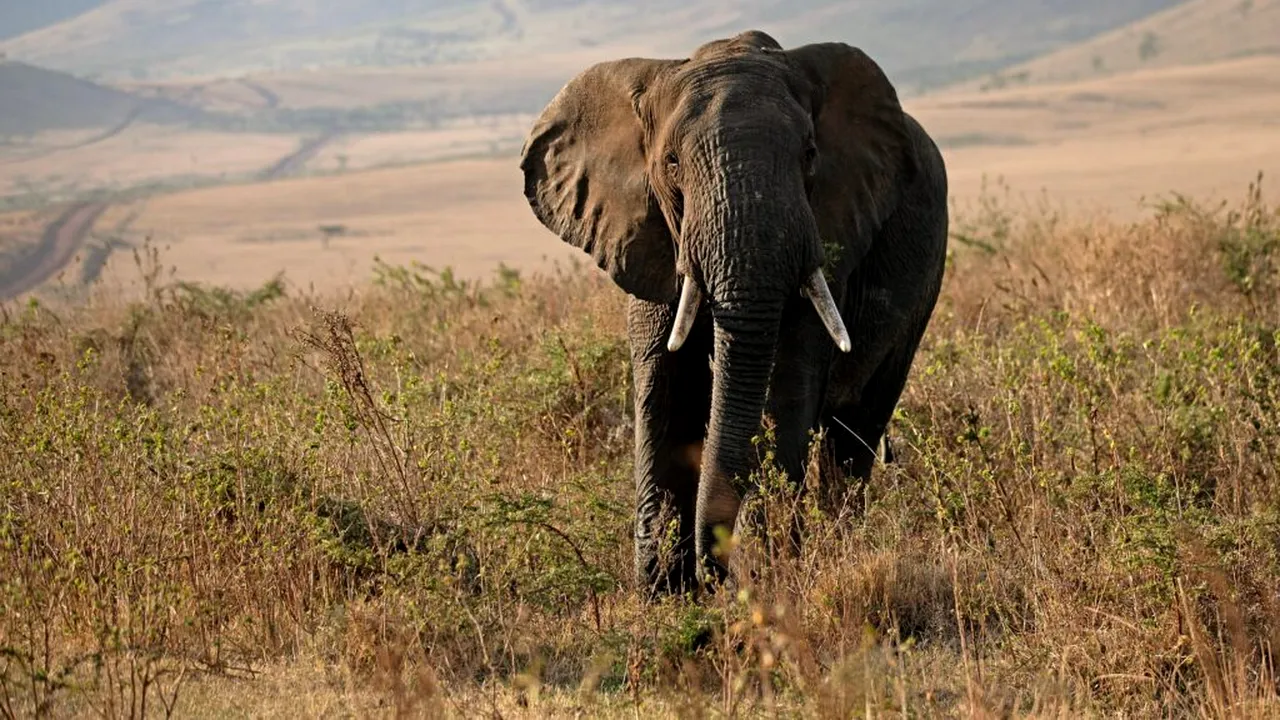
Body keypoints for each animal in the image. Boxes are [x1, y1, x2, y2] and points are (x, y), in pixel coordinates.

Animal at [519, 30, 948, 595]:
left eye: (810, 154)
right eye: (672, 163)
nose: (714, 569)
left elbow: (785, 386)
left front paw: (764, 576)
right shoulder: (647, 236)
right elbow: (664, 388)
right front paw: (664, 594)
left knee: (856, 429)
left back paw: (839, 549)